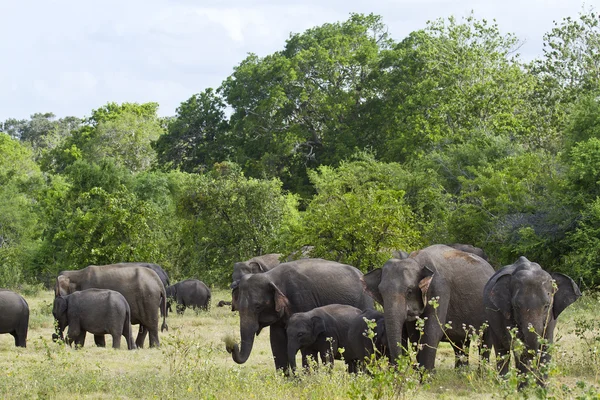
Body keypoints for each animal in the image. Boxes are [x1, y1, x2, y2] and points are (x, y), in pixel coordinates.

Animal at [226, 258, 372, 370]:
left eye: (257, 306)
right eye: (238, 308)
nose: (232, 345)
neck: (271, 276)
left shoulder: (303, 299)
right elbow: (276, 340)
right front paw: (286, 381)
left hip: (365, 300)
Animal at [364, 244, 494, 372]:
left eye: (409, 292)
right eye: (380, 293)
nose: (400, 370)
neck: (416, 260)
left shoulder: (439, 289)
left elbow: (432, 331)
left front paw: (427, 375)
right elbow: (415, 334)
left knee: (485, 340)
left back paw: (481, 373)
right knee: (460, 341)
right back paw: (461, 372)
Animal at [482, 256, 580, 384]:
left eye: (547, 306)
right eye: (516, 306)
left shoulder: (551, 318)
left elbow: (546, 345)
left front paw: (540, 386)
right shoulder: (507, 313)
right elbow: (519, 345)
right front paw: (524, 385)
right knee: (502, 349)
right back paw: (504, 382)